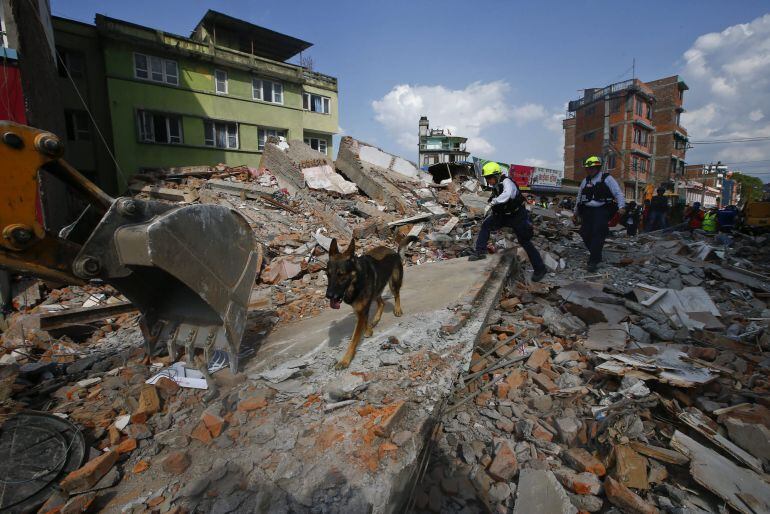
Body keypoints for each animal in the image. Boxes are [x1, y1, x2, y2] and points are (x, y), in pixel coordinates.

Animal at [328, 234, 416, 370]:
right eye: (328, 274)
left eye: (341, 275)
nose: (328, 295)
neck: (356, 280)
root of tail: (395, 252)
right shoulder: (359, 309)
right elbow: (364, 321)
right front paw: (369, 330)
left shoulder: (361, 310)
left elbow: (354, 340)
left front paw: (345, 360)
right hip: (376, 290)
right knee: (382, 303)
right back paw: (375, 319)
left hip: (393, 283)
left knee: (397, 295)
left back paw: (397, 309)